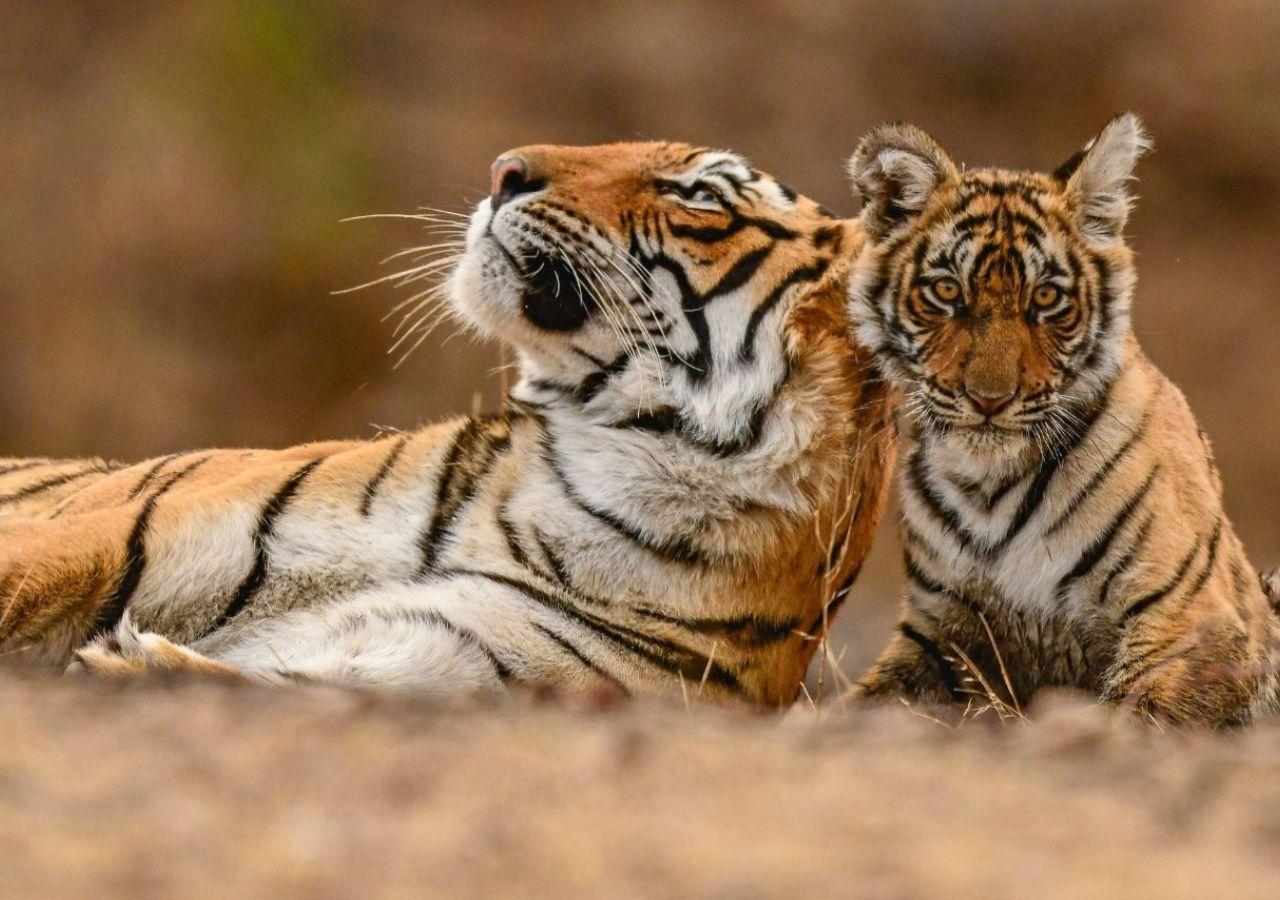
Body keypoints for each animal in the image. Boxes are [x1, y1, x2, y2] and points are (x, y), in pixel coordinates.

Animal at [843, 113, 1280, 726]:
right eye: (947, 290)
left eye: (1047, 298)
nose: (990, 399)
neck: (988, 487)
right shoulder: (939, 629)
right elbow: (856, 704)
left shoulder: (1191, 617)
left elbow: (1138, 711)